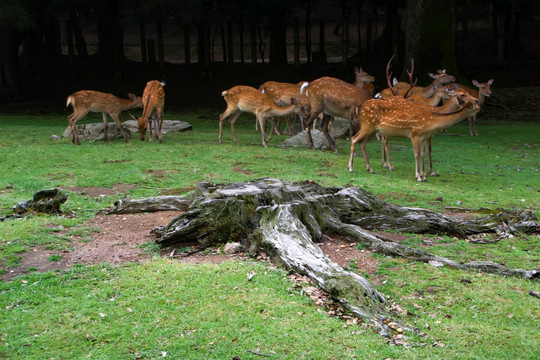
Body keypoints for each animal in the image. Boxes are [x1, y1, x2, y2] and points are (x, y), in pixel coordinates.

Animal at [350, 59, 480, 183]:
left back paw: (372, 168)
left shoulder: (425, 135)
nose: (477, 101)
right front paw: (422, 175)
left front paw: (425, 175)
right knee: (357, 139)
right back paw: (356, 167)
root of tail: (359, 107)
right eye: (462, 94)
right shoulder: (417, 135)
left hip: (373, 129)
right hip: (369, 126)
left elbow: (423, 153)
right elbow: (421, 153)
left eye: (467, 92)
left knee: (364, 142)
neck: (435, 115)